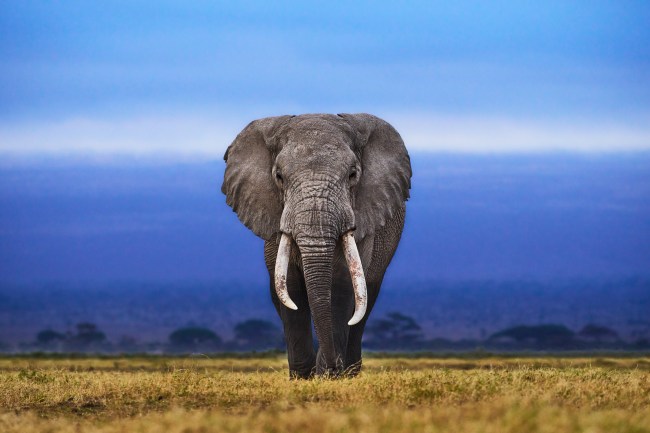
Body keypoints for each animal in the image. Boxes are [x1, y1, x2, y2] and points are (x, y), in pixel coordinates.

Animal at [221, 113, 411, 378]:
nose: (333, 366)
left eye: (352, 174)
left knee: (365, 302)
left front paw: (327, 376)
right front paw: (303, 377)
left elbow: (342, 286)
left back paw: (350, 371)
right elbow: (290, 289)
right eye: (279, 177)